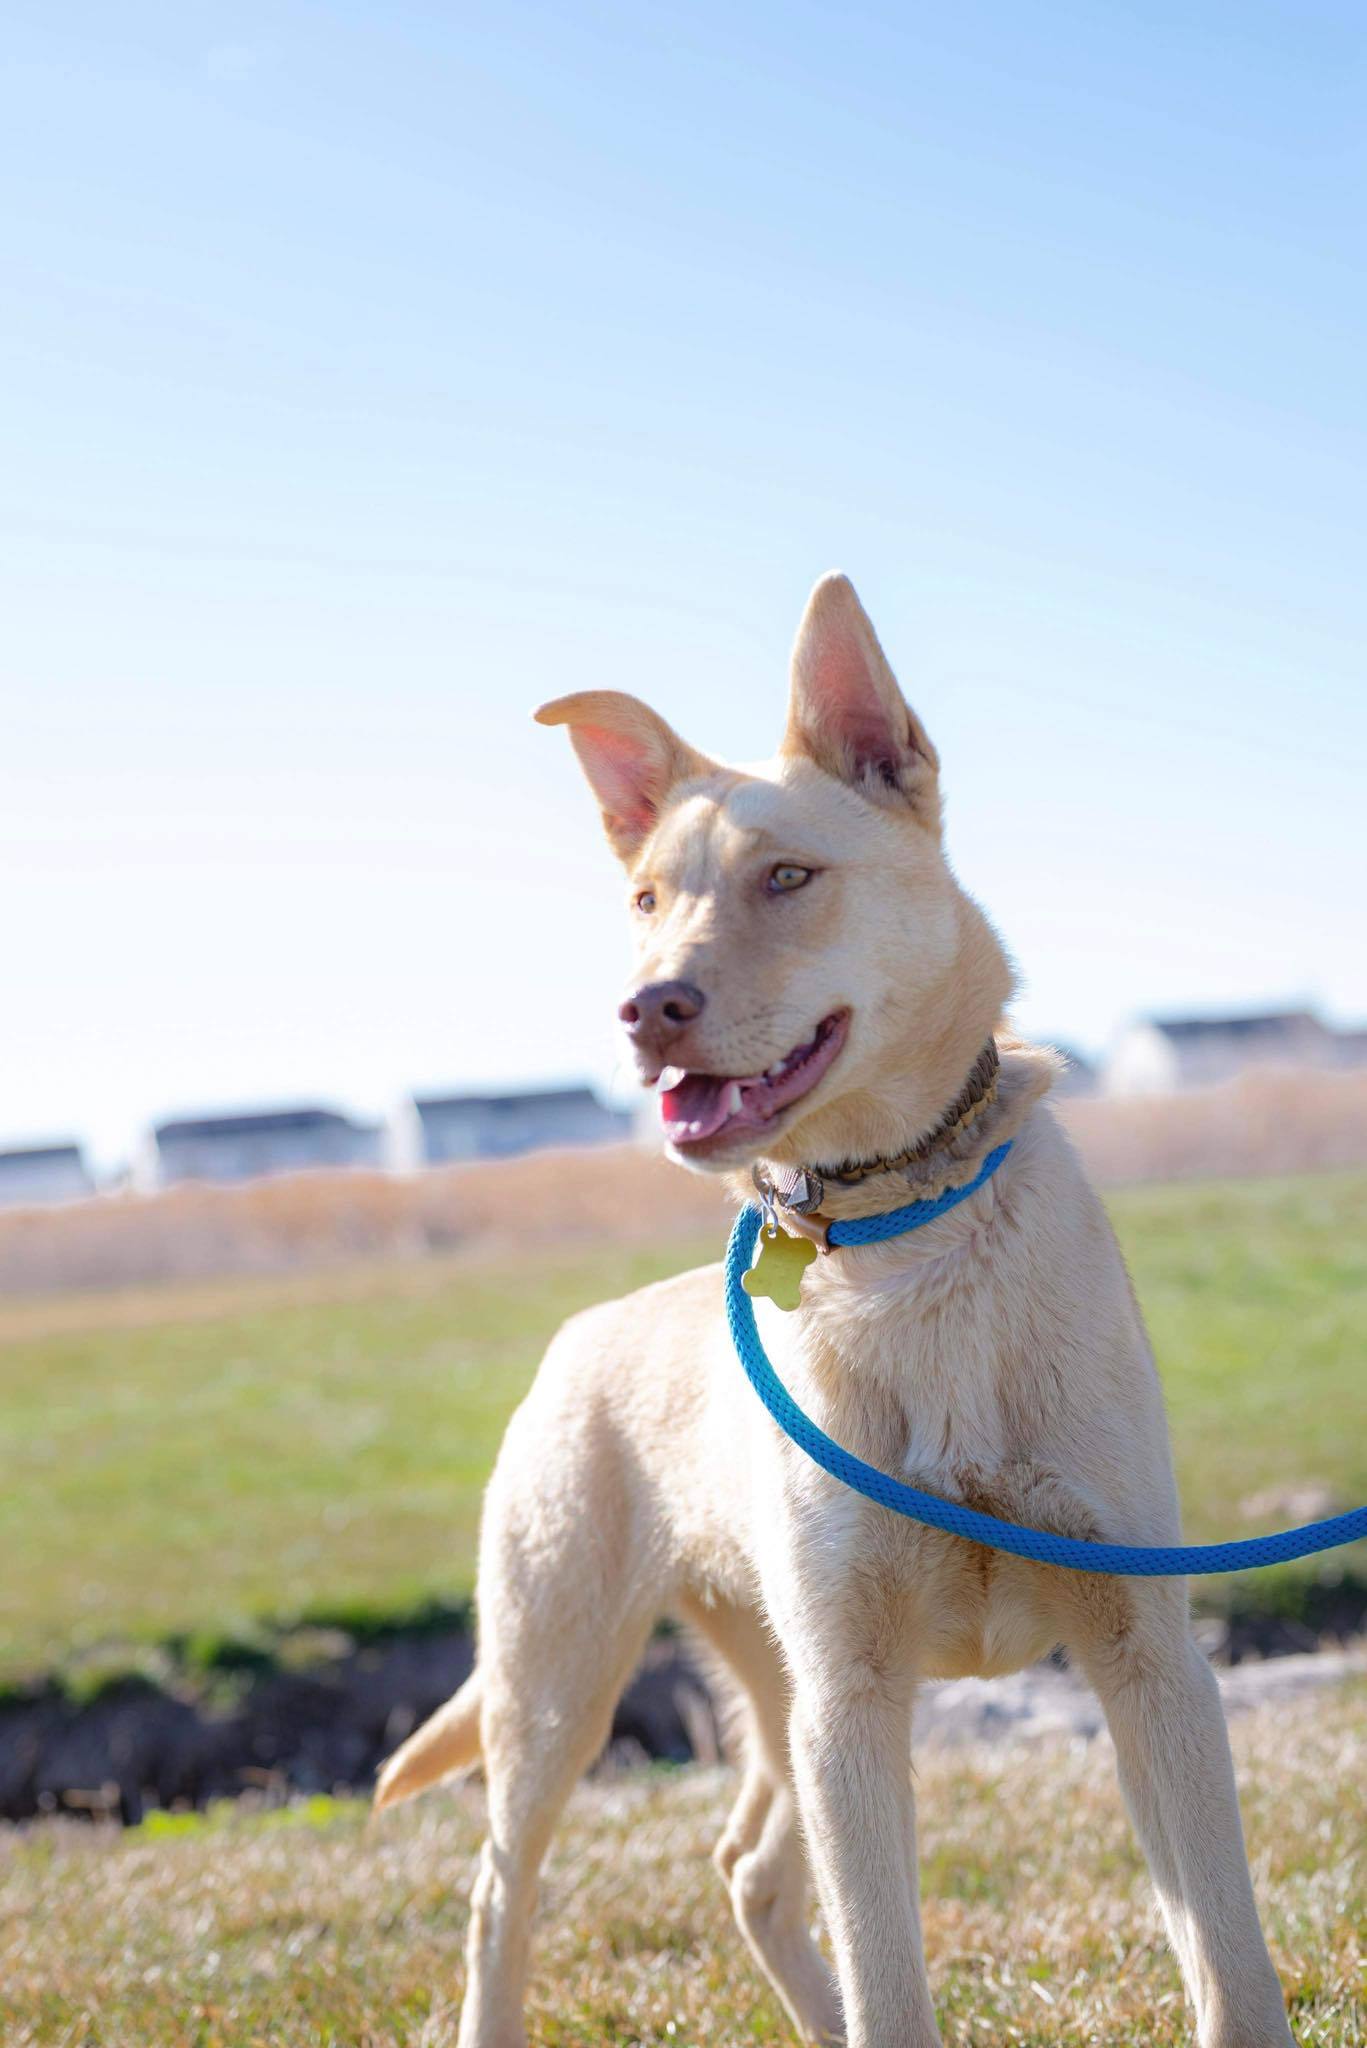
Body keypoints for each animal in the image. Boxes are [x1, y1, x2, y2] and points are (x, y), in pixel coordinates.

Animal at [377, 577, 1295, 2048]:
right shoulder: (848, 1705)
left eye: (787, 877)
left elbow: (1222, 1950)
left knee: (747, 1868)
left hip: (760, 1687)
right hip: (562, 1691)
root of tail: (579, 1335)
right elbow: (886, 1974)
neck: (898, 1234)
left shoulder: (1144, 1656)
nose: (645, 1008)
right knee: (496, 1892)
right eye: (645, 900)